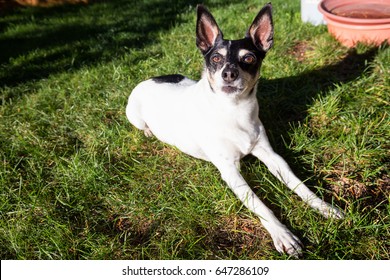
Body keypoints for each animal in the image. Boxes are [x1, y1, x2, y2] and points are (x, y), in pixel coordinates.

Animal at [126, 2, 342, 258]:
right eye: (216, 58)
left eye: (248, 58)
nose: (229, 73)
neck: (234, 111)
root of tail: (148, 79)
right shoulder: (230, 171)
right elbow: (260, 205)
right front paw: (283, 235)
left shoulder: (272, 157)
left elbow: (299, 184)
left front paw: (324, 207)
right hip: (134, 116)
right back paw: (149, 132)